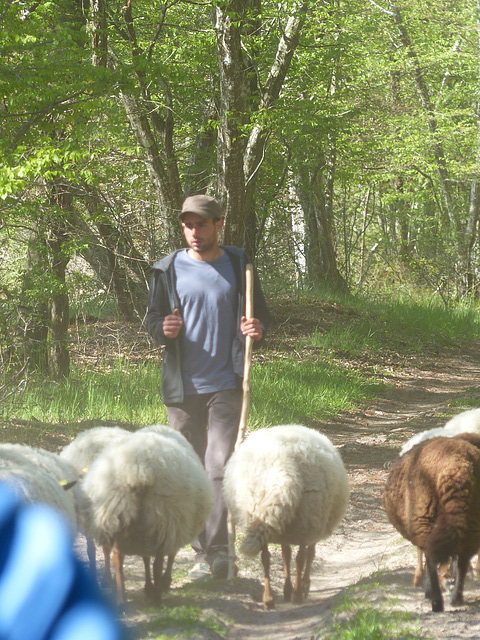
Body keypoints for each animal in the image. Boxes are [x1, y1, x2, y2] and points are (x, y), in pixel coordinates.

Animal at [82, 424, 214, 604]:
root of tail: (138, 470)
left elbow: (145, 557)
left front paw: (148, 586)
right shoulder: (177, 524)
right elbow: (169, 555)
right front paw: (163, 583)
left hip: (118, 514)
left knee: (118, 556)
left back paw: (121, 597)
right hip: (163, 517)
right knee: (158, 561)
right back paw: (157, 597)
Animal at [223, 424, 350, 608]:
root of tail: (284, 468)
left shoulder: (285, 530)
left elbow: (285, 554)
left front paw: (287, 588)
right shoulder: (310, 528)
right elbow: (306, 555)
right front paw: (301, 586)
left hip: (260, 514)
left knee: (266, 558)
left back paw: (269, 598)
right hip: (308, 515)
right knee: (301, 557)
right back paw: (298, 593)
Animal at [384, 432, 480, 612]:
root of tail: (457, 468)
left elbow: (423, 553)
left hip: (423, 514)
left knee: (431, 556)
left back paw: (436, 599)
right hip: (471, 518)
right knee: (463, 559)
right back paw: (456, 597)